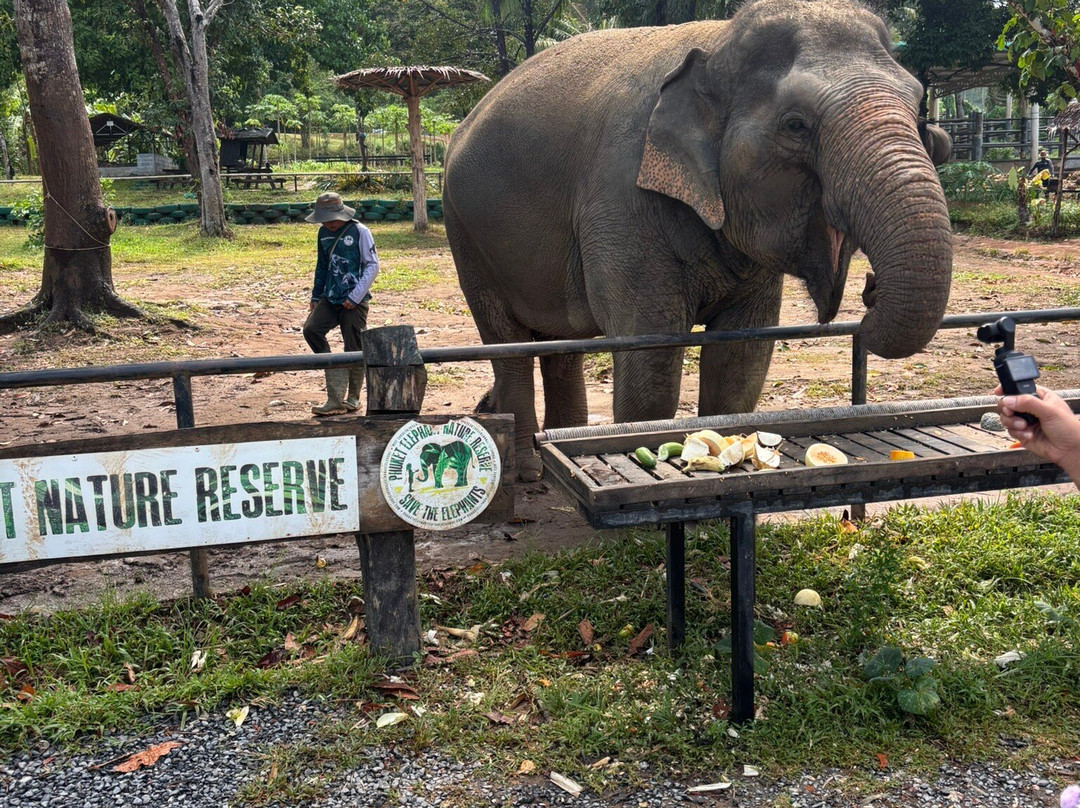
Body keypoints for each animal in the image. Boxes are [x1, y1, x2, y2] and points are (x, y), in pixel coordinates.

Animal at [444, 0, 953, 480]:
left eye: (918, 107)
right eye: (795, 125)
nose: (870, 287)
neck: (717, 40)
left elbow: (741, 362)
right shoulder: (621, 201)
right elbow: (650, 360)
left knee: (563, 347)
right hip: (465, 235)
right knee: (508, 345)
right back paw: (531, 471)